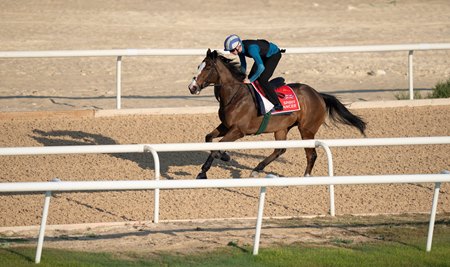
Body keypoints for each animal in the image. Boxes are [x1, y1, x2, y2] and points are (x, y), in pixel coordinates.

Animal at [187, 49, 366, 180]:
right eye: (198, 66)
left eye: (207, 68)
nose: (192, 87)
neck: (235, 95)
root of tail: (319, 95)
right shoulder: (225, 126)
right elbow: (209, 139)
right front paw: (221, 158)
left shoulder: (238, 130)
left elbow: (217, 146)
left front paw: (205, 170)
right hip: (282, 128)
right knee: (280, 149)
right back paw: (257, 169)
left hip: (306, 130)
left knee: (311, 154)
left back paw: (306, 176)